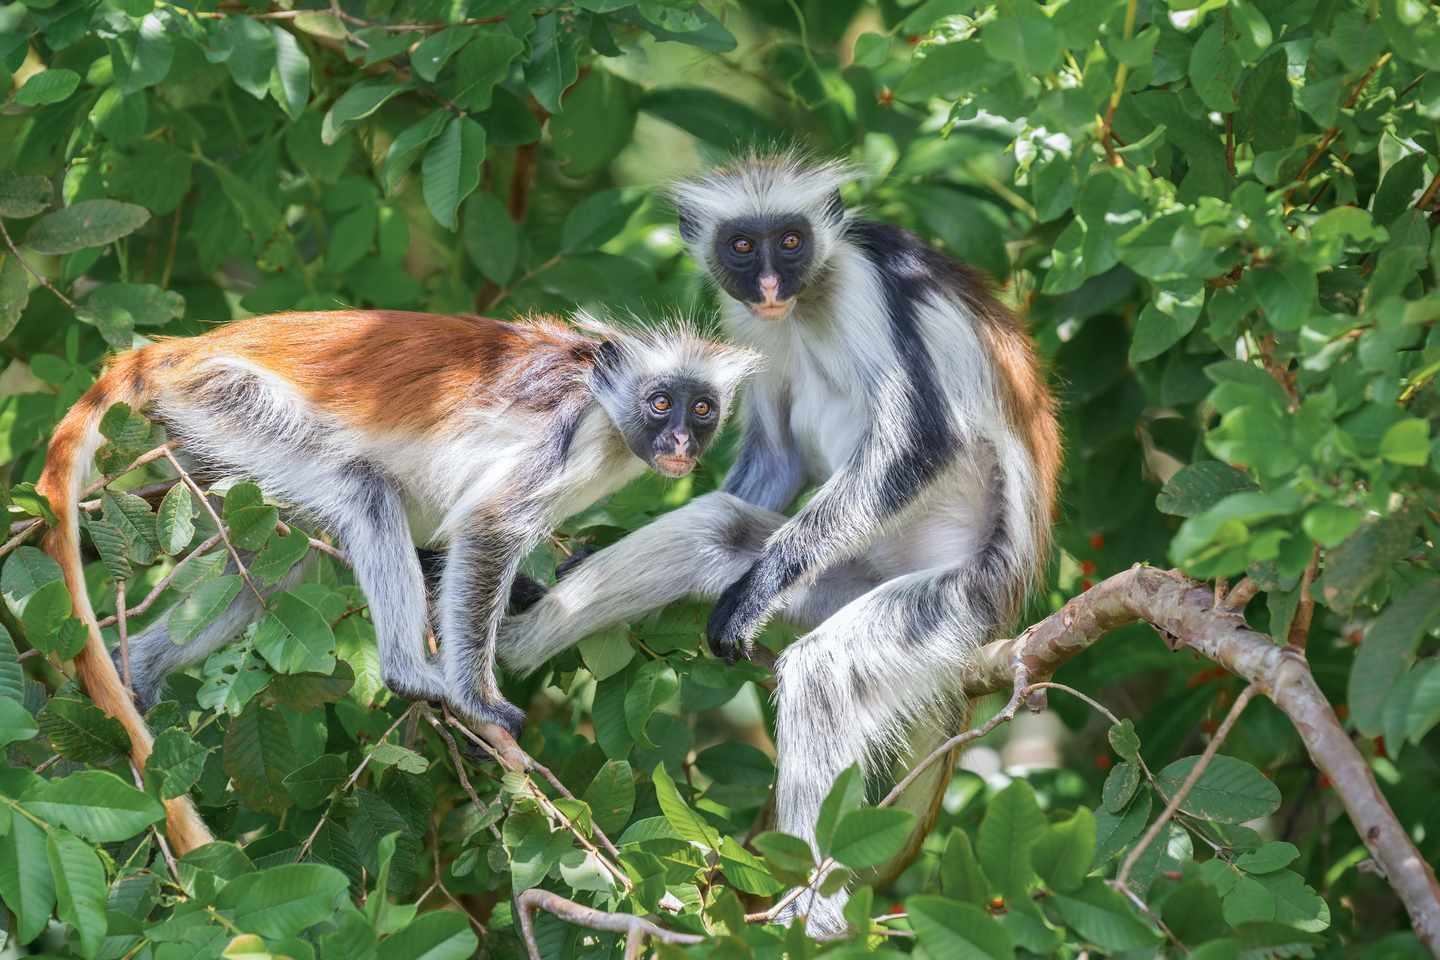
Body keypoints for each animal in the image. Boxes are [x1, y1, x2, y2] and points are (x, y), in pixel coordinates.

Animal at [37, 309, 757, 854]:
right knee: (364, 490)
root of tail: (182, 349)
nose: (680, 442)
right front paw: (478, 701)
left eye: (701, 409)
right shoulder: (564, 433)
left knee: (273, 564)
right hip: (229, 398)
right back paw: (410, 672)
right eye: (660, 403)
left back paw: (139, 671)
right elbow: (487, 527)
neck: (603, 401)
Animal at [498, 153, 1062, 933]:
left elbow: (920, 441)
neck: (808, 299)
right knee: (717, 528)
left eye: (791, 242)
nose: (769, 284)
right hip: (842, 576)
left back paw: (812, 918)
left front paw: (754, 593)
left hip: (956, 596)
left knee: (824, 672)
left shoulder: (864, 282)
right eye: (743, 246)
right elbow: (775, 455)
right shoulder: (748, 323)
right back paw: (506, 642)